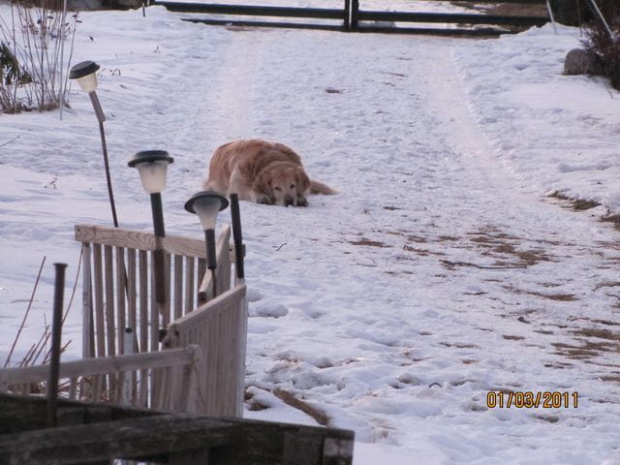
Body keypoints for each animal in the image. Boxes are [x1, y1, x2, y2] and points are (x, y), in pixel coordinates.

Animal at [203, 138, 336, 207]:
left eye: (292, 185)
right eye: (277, 188)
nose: (288, 201)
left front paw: (300, 198)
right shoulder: (237, 185)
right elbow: (249, 191)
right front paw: (261, 197)